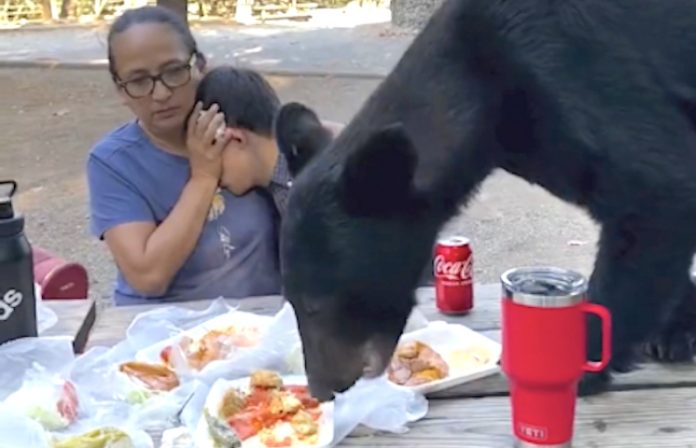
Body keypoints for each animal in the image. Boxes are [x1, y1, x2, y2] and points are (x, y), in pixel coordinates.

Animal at [273, 0, 696, 402]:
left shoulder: (576, 73)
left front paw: (578, 366)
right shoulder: (540, 141)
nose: (323, 388)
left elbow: (659, 189)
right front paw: (675, 327)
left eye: (317, 304)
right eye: (291, 301)